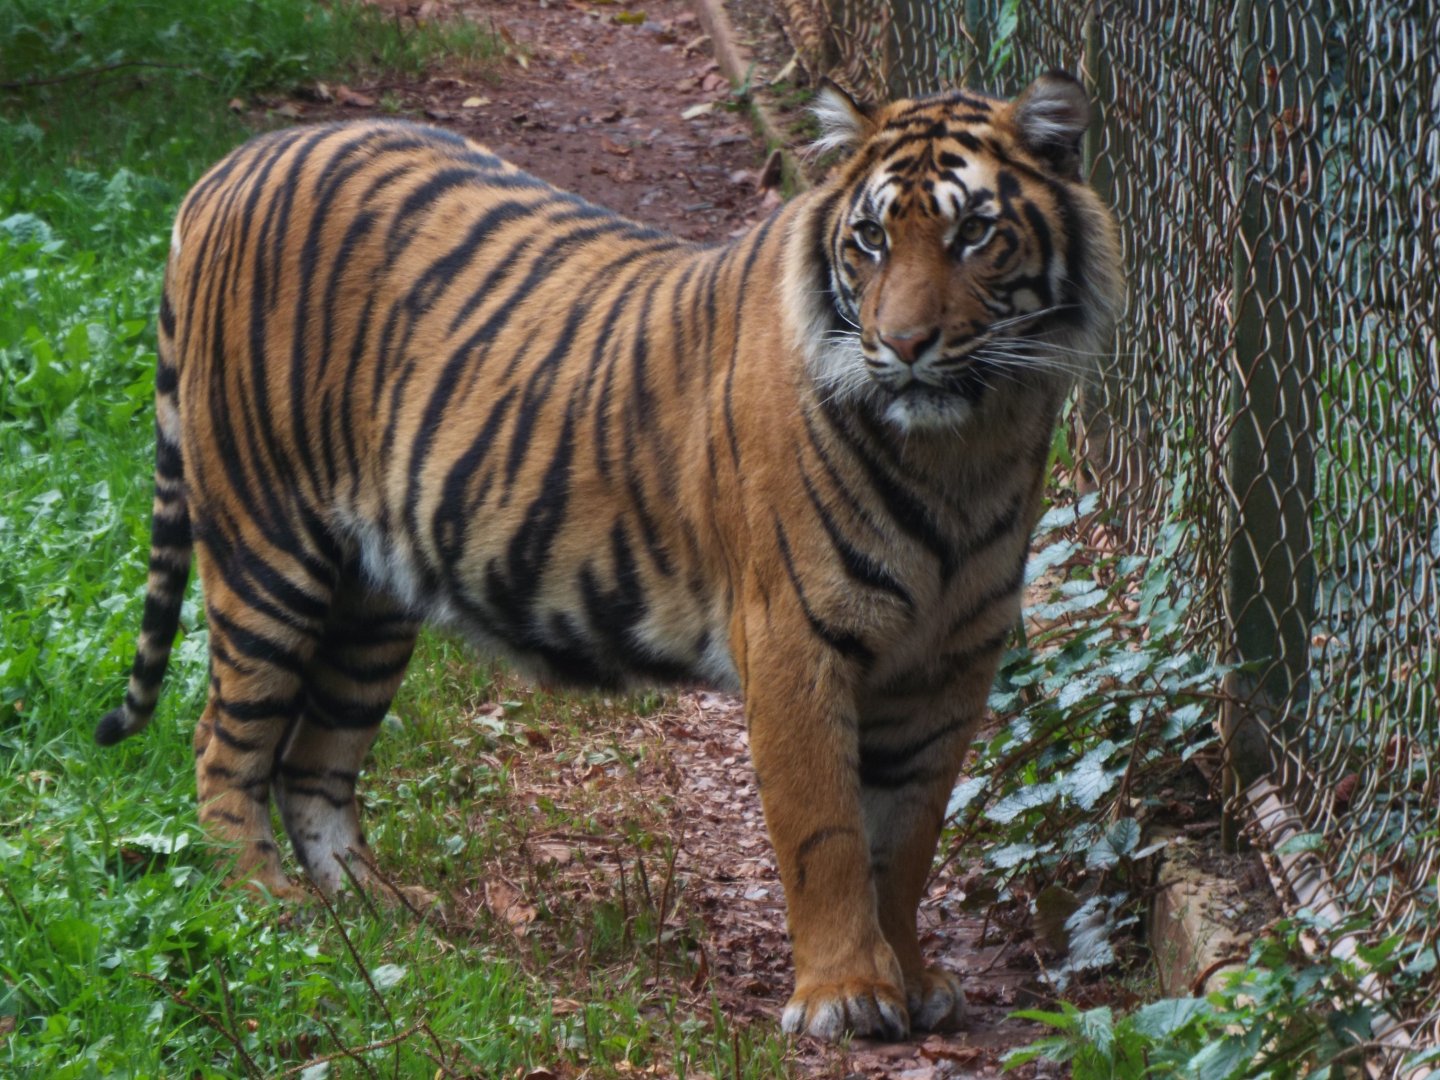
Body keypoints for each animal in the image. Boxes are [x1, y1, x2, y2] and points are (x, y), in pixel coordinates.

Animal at [95, 71, 1122, 1041]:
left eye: (974, 235)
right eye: (869, 239)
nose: (904, 345)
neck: (963, 450)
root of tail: (233, 165)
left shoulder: (951, 662)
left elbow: (905, 842)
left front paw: (910, 979)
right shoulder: (794, 640)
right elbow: (825, 832)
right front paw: (846, 997)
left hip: (370, 600)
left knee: (314, 763)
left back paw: (375, 911)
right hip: (270, 550)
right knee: (222, 743)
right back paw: (263, 906)